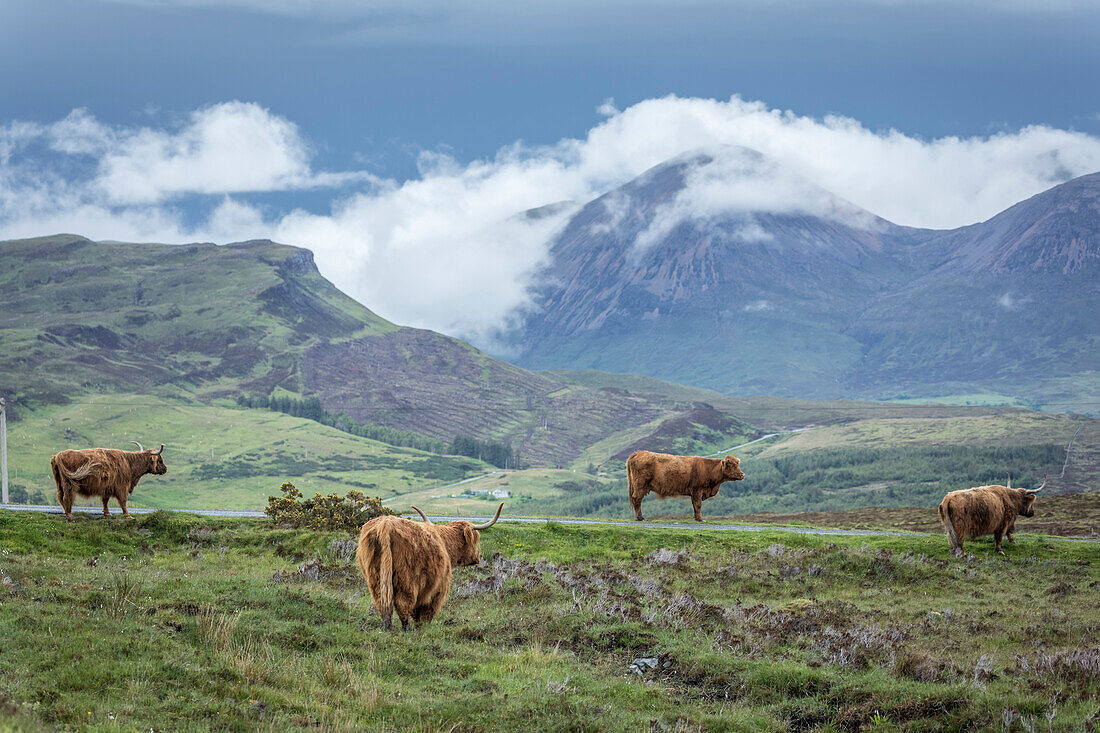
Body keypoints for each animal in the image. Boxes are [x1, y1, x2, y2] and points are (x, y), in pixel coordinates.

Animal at [356, 501, 503, 629]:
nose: (477, 558)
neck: (445, 543)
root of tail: (386, 525)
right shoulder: (439, 586)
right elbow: (427, 610)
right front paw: (423, 625)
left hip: (375, 577)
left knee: (382, 603)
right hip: (406, 580)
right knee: (403, 605)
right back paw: (406, 629)